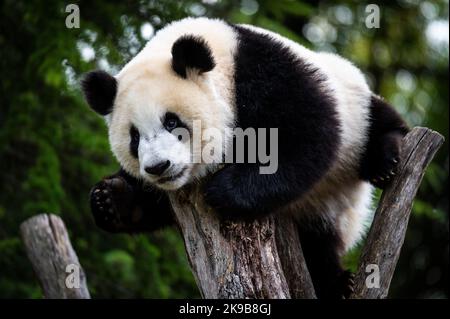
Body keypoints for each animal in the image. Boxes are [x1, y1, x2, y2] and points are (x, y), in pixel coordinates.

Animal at [81, 16, 408, 298]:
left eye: (171, 121)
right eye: (134, 137)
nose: (158, 167)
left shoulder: (265, 73)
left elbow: (308, 135)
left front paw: (224, 191)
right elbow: (152, 204)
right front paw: (109, 200)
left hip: (351, 104)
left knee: (377, 121)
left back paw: (384, 161)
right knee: (316, 247)